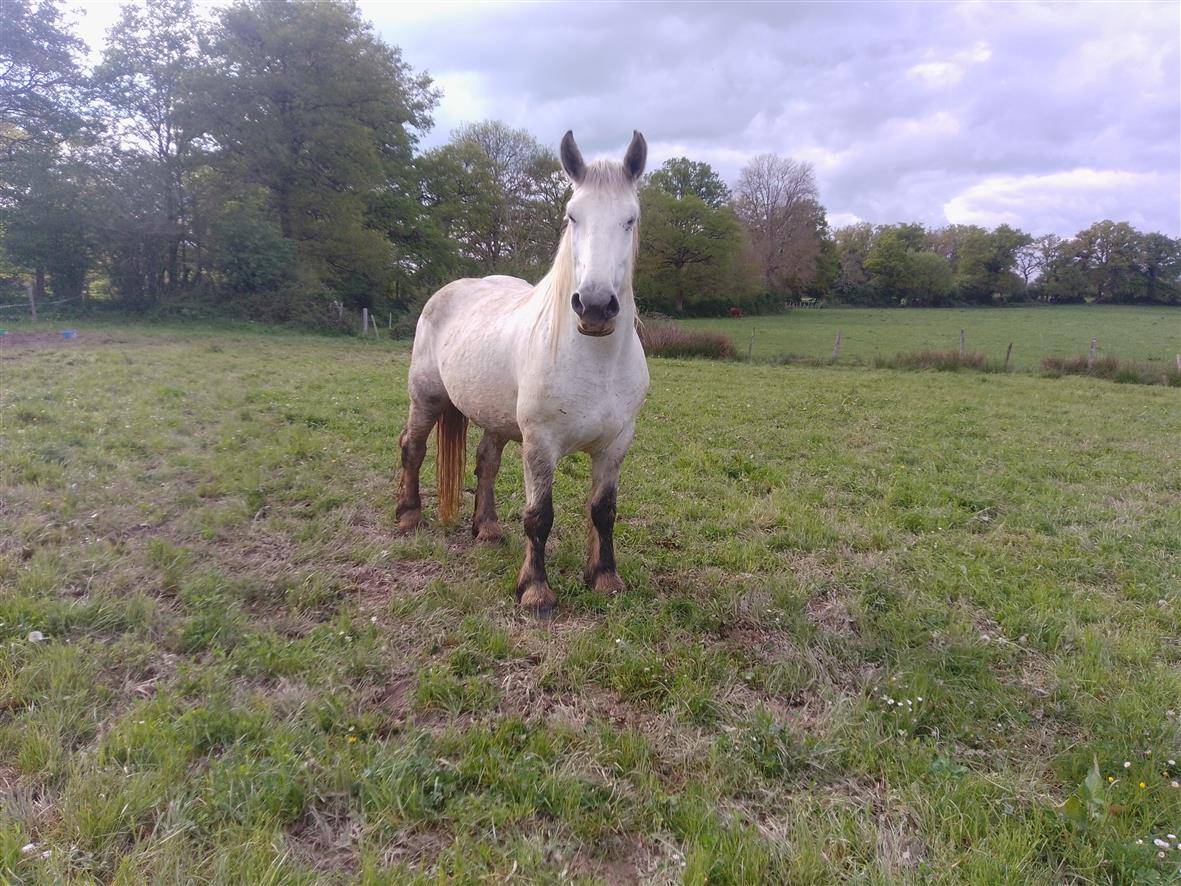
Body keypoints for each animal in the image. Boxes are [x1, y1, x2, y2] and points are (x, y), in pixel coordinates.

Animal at [395, 130, 649, 618]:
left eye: (630, 219)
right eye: (572, 216)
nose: (594, 306)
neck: (596, 362)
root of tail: (449, 291)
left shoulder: (615, 444)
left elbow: (603, 511)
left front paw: (604, 578)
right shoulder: (539, 444)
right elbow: (539, 516)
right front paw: (535, 590)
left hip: (495, 418)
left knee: (485, 463)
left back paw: (487, 529)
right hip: (427, 399)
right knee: (412, 449)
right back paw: (408, 516)